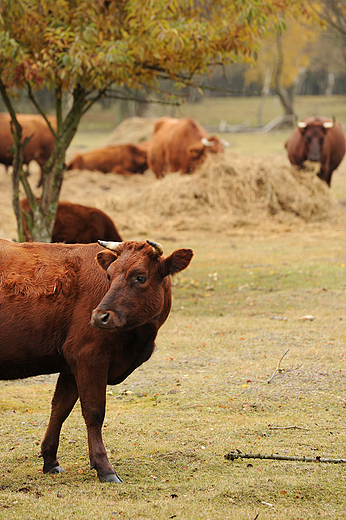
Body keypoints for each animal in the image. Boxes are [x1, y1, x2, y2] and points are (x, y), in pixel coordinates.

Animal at [0, 240, 193, 484]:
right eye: (109, 276)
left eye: (140, 277)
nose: (99, 317)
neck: (139, 340)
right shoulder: (89, 356)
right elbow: (94, 412)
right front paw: (104, 467)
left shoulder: (71, 365)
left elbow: (60, 408)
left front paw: (50, 460)